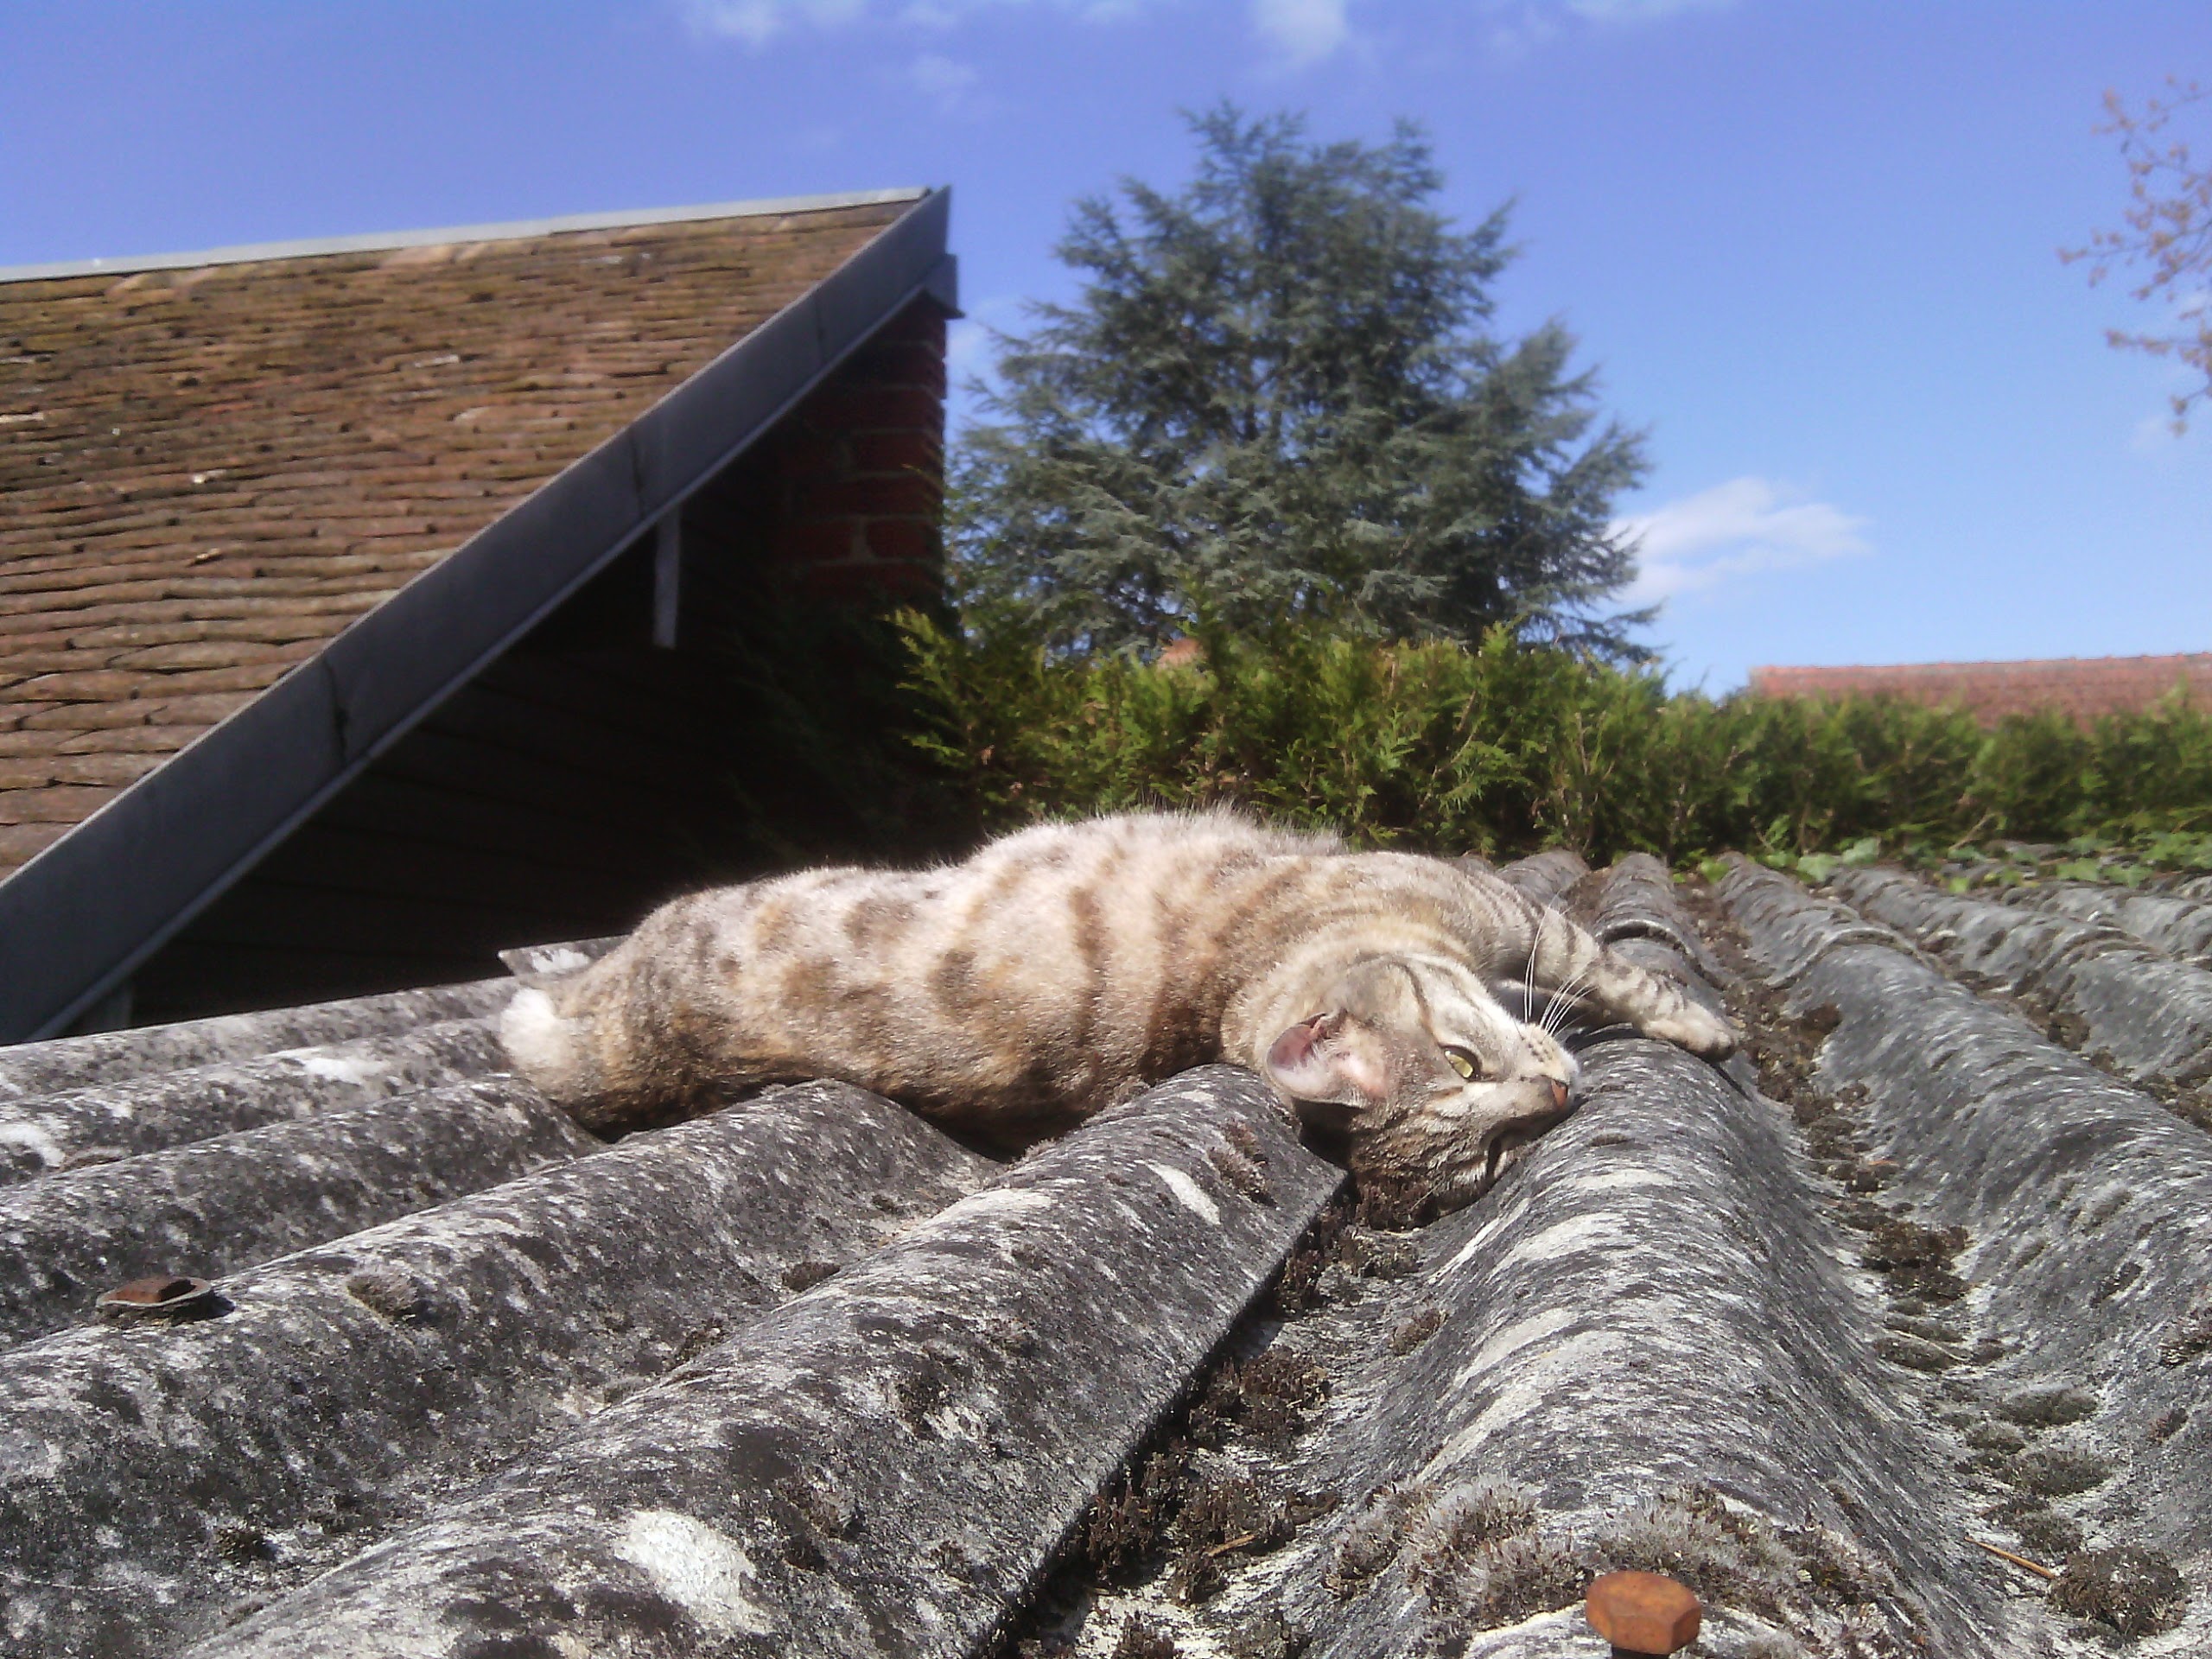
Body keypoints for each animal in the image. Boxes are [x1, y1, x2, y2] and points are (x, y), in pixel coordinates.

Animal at [500, 810, 1737, 1211]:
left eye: (1464, 1064)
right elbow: (1616, 966)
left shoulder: (1509, 924)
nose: (1561, 1095)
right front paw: (1708, 1029)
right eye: (1486, 1154)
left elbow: (1602, 968)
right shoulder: (1516, 919)